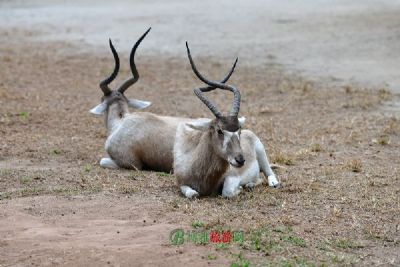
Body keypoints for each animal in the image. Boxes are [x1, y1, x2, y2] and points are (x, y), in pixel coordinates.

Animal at [173, 43, 280, 199]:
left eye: (239, 131)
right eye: (219, 130)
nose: (240, 160)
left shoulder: (232, 177)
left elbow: (227, 192)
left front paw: (239, 189)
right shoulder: (181, 183)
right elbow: (192, 194)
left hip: (261, 153)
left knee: (269, 175)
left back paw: (257, 184)